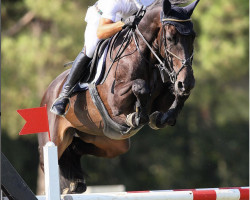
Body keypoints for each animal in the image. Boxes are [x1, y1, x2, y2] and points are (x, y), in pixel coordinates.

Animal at [38, 0, 199, 194]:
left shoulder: (161, 99)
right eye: (170, 38)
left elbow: (175, 96)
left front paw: (164, 117)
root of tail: (48, 91)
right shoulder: (115, 102)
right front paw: (137, 117)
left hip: (110, 140)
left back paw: (75, 183)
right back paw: (61, 103)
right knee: (48, 161)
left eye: (193, 37)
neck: (143, 56)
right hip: (54, 140)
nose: (187, 82)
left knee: (77, 147)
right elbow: (140, 86)